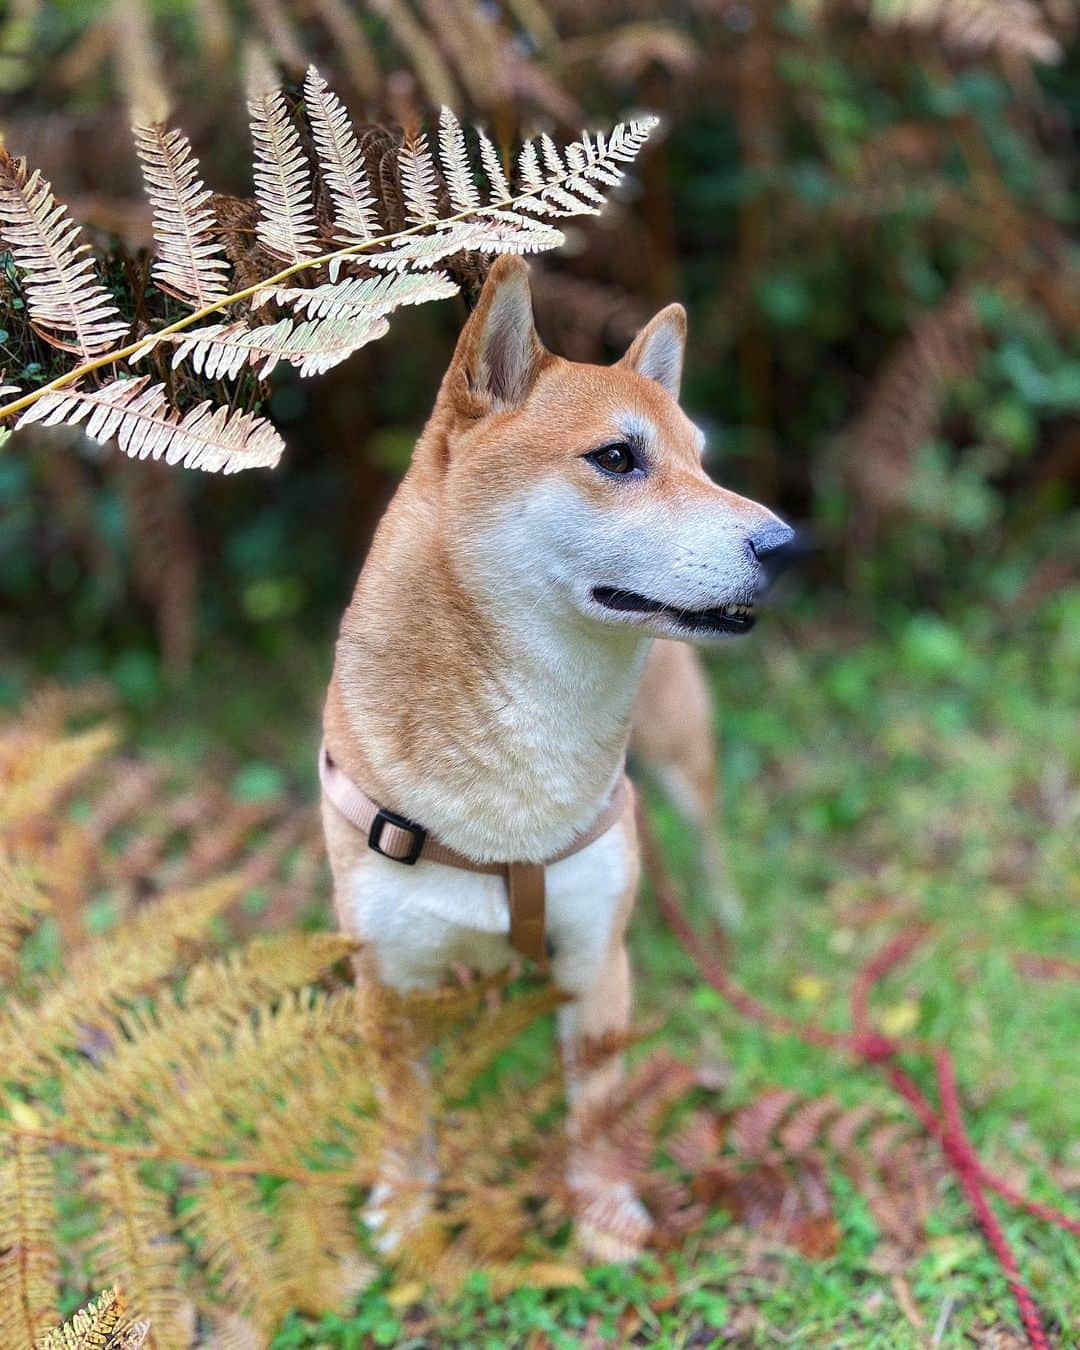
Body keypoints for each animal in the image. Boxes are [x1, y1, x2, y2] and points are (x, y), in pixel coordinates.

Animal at [321, 255, 793, 1263]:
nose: (784, 544)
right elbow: (405, 1110)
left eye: (700, 460)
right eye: (616, 458)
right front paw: (406, 1207)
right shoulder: (387, 975)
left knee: (707, 831)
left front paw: (604, 1217)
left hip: (680, 758)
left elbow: (595, 1112)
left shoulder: (594, 958)